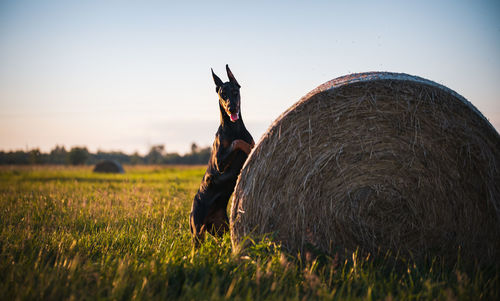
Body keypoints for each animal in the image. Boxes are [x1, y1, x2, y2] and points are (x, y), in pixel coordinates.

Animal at [190, 64, 256, 245]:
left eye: (235, 92)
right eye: (222, 94)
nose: (232, 108)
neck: (234, 128)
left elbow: (247, 143)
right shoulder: (219, 162)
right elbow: (237, 143)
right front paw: (248, 149)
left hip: (222, 228)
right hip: (197, 230)